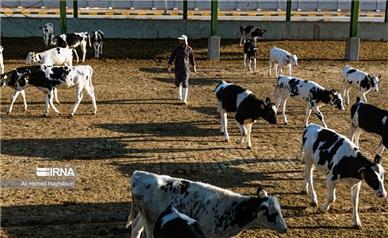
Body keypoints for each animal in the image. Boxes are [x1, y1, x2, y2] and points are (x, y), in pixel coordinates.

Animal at [127, 170, 288, 238]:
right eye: (274, 213)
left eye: (280, 210)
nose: (285, 229)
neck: (233, 208)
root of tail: (139, 174)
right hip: (150, 222)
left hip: (145, 215)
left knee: (136, 227)